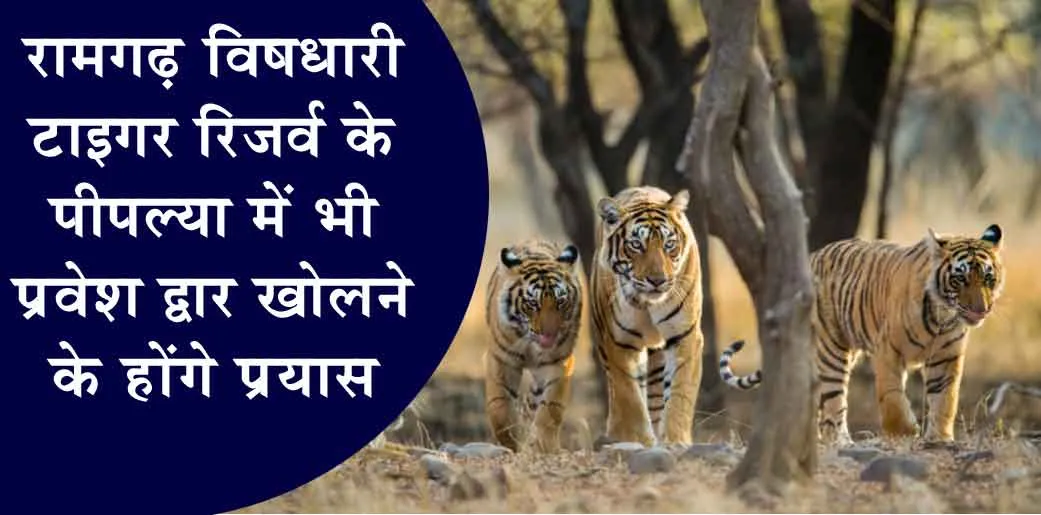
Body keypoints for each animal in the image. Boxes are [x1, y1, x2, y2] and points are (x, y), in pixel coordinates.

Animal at [484, 239, 584, 453]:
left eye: (560, 302)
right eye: (532, 304)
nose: (549, 334)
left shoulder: (558, 363)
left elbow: (550, 408)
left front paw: (544, 446)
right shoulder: (501, 360)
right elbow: (500, 407)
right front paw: (510, 443)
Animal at [590, 186, 705, 447]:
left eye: (669, 244)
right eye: (636, 245)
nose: (658, 280)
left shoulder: (685, 336)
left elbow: (680, 393)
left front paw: (675, 441)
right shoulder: (619, 342)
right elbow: (629, 395)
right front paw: (636, 439)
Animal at [719, 224, 1006, 445]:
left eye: (988, 279)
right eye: (961, 279)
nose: (981, 309)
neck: (942, 316)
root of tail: (811, 257)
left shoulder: (946, 358)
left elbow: (945, 399)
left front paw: (940, 438)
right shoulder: (888, 351)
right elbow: (891, 397)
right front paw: (905, 432)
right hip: (831, 350)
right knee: (833, 405)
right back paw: (840, 442)